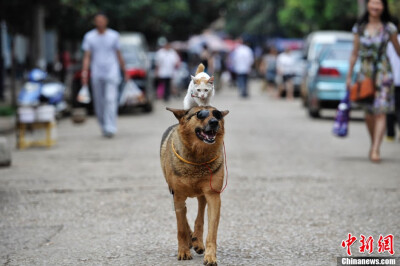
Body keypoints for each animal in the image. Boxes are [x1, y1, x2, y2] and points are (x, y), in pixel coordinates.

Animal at [159, 106, 228, 266]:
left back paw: (197, 240)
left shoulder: (213, 196)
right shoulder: (178, 195)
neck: (198, 157)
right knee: (184, 218)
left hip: (202, 194)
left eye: (218, 114)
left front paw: (210, 256)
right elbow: (181, 227)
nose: (215, 122)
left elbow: (211, 231)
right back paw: (191, 239)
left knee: (200, 215)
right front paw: (183, 251)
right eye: (200, 115)